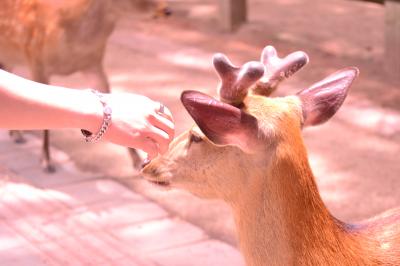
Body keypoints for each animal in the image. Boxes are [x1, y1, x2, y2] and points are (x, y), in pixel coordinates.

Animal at [0, 0, 170, 172]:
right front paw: (47, 161)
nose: (166, 10)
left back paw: (17, 135)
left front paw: (137, 161)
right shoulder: (36, 59)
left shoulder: (93, 63)